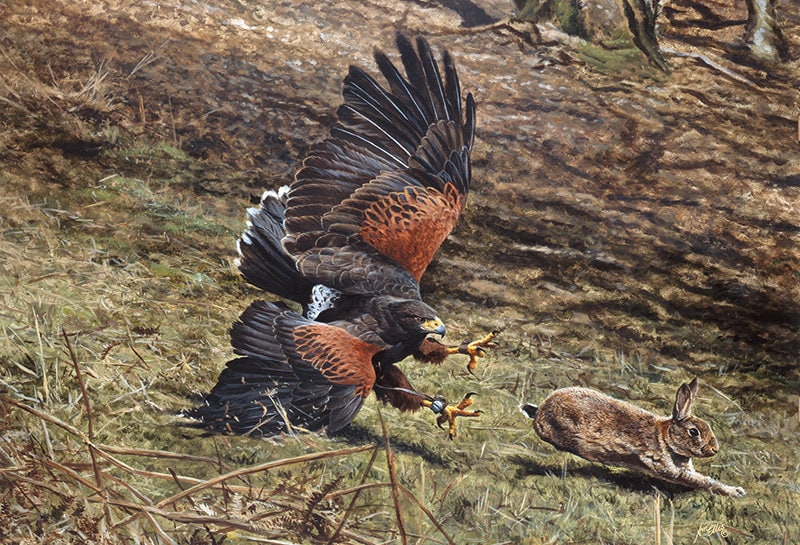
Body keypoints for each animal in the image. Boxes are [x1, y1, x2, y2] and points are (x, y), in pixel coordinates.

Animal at [520, 378, 746, 497]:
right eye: (693, 432)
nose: (715, 449)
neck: (666, 438)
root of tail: (541, 410)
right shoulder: (666, 467)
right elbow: (702, 481)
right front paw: (735, 491)